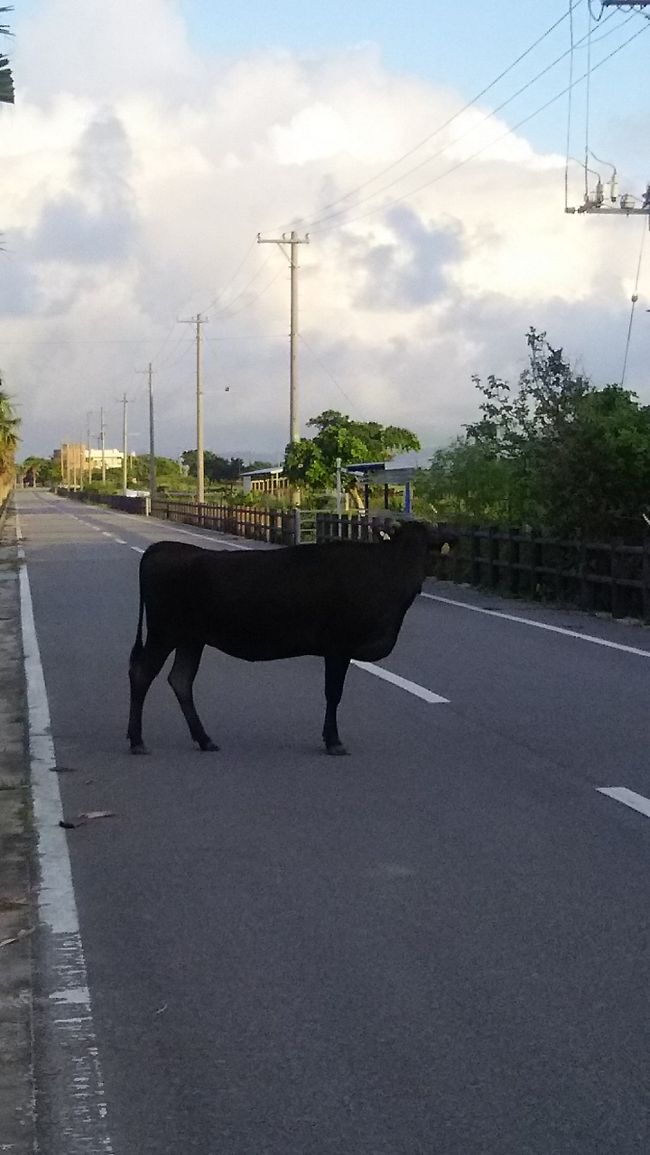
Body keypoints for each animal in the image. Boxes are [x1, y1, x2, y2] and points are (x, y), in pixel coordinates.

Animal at [125, 522, 452, 757]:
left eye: (425, 548)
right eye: (405, 548)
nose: (416, 581)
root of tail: (163, 548)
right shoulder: (338, 646)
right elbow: (333, 693)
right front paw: (333, 741)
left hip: (191, 638)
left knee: (180, 680)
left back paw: (204, 739)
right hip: (164, 632)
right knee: (142, 673)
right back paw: (137, 741)